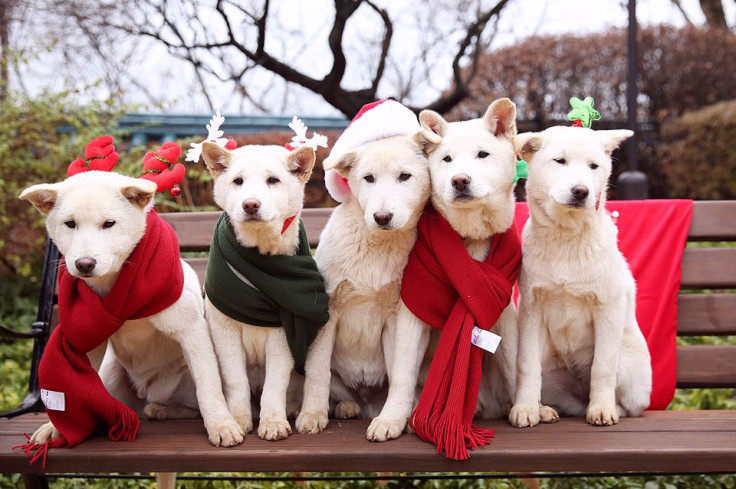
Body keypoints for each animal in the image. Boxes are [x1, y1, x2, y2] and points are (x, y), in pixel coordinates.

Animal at [18, 136, 244, 468]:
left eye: (109, 224)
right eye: (70, 224)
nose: (84, 264)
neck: (116, 284)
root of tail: (146, 391)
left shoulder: (191, 331)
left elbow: (209, 387)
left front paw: (221, 424)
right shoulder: (88, 340)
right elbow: (74, 387)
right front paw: (55, 426)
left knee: (189, 403)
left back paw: (163, 409)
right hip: (111, 376)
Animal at [200, 140, 330, 438]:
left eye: (273, 180)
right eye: (238, 181)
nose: (250, 204)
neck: (258, 255)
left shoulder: (282, 333)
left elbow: (276, 384)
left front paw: (273, 422)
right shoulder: (224, 330)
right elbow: (236, 381)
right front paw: (238, 419)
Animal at [506, 126, 656, 428]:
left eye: (594, 167)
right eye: (560, 161)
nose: (581, 191)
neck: (567, 238)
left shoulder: (608, 308)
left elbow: (603, 367)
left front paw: (602, 409)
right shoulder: (532, 308)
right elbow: (526, 365)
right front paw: (525, 408)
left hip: (628, 363)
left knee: (628, 404)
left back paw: (606, 406)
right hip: (552, 370)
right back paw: (544, 409)